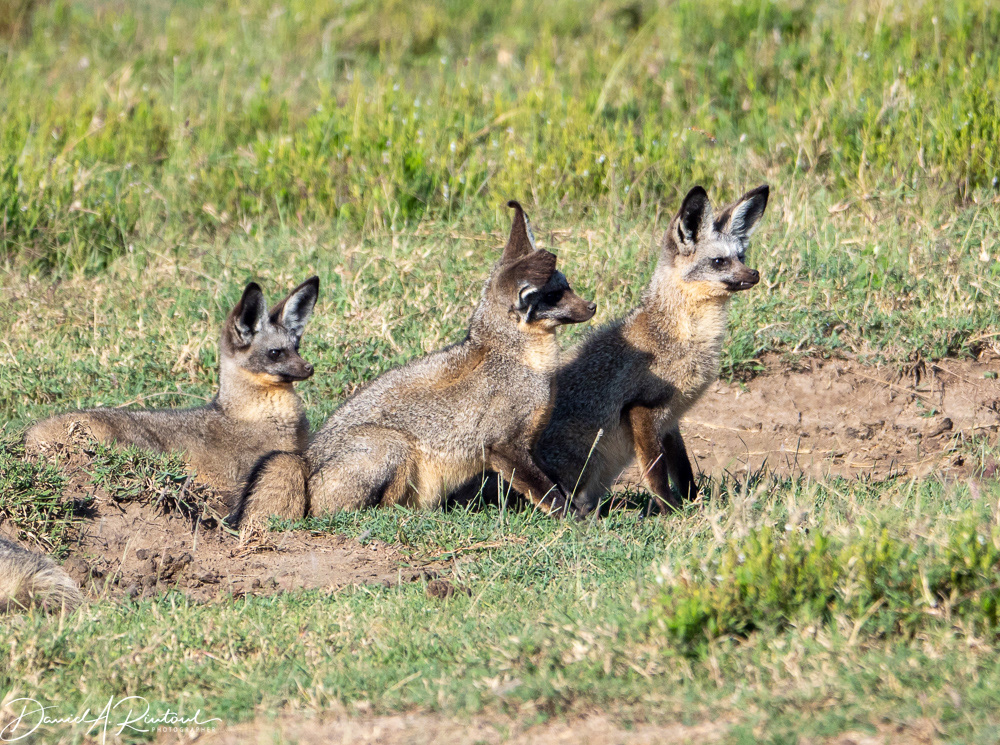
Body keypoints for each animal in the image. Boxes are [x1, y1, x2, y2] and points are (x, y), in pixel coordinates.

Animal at [228, 201, 596, 531]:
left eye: (568, 286)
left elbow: (560, 483)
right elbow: (549, 494)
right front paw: (576, 522)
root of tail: (306, 462)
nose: (592, 306)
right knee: (370, 511)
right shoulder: (503, 447)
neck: (523, 362)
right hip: (396, 447)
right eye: (554, 296)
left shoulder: (530, 444)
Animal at [535, 184, 770, 516]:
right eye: (719, 262)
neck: (681, 335)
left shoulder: (671, 419)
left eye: (741, 256)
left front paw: (692, 502)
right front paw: (670, 511)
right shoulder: (642, 409)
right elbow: (656, 471)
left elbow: (682, 469)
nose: (754, 274)